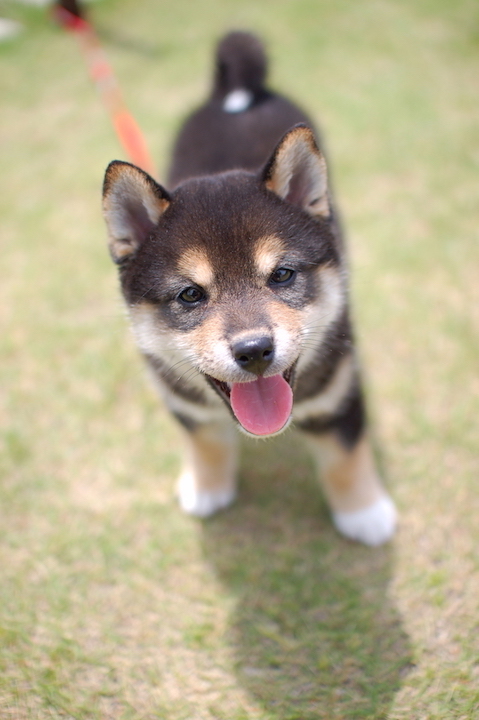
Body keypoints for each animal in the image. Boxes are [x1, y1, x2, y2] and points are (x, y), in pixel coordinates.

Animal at [102, 31, 398, 544]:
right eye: (190, 294)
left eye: (282, 275)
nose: (254, 350)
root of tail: (237, 94)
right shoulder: (183, 403)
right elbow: (206, 444)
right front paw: (207, 486)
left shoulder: (340, 388)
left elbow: (345, 458)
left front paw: (363, 512)